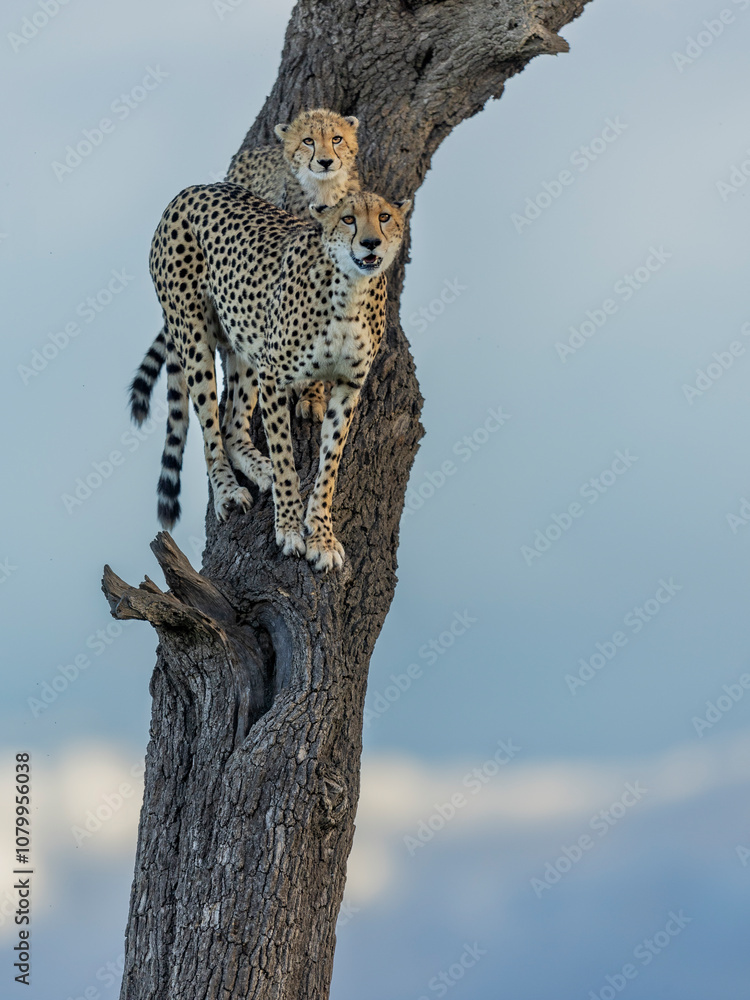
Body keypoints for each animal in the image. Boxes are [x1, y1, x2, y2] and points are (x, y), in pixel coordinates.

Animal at [129, 109, 360, 428]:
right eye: (308, 141)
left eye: (337, 139)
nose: (325, 161)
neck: (323, 192)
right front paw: (307, 393)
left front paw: (313, 395)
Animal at [149, 183, 410, 571]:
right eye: (348, 219)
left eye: (384, 217)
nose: (370, 243)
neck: (350, 292)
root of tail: (192, 189)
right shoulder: (274, 377)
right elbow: (286, 459)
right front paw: (288, 528)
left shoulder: (348, 386)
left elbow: (329, 466)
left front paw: (321, 535)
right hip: (194, 336)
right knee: (211, 429)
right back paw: (228, 490)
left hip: (246, 339)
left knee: (232, 424)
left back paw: (260, 467)